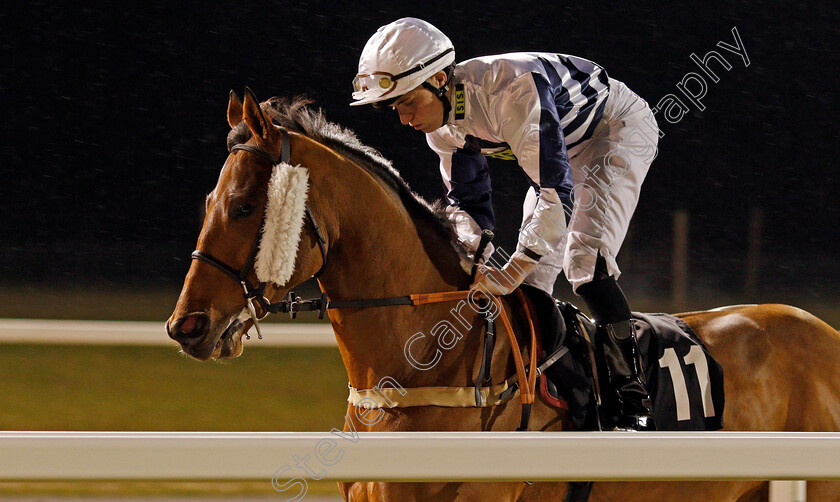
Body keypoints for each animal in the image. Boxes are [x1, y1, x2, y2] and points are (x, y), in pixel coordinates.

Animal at [166, 88, 840, 500]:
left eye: (243, 205)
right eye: (210, 200)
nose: (185, 326)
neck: (431, 361)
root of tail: (822, 332)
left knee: (587, 260)